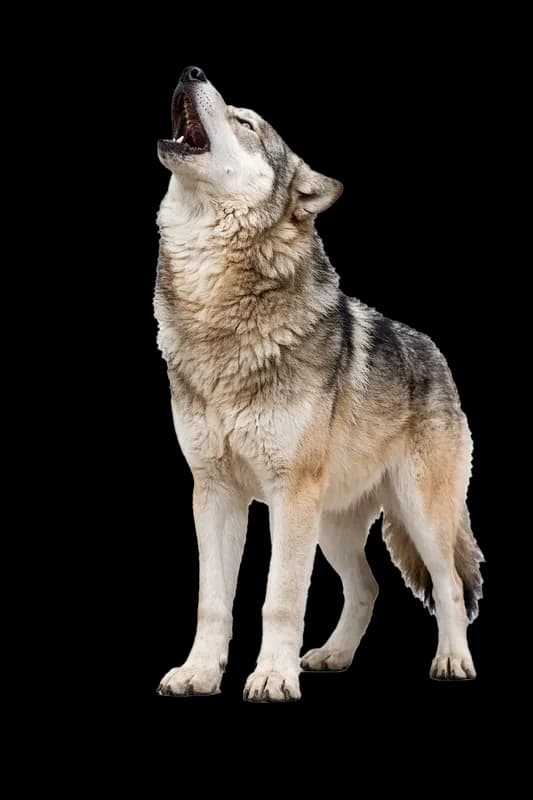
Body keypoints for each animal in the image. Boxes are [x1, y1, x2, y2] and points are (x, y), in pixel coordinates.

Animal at [155, 66, 483, 702]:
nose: (191, 71)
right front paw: (199, 674)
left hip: (417, 516)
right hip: (331, 526)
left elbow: (280, 598)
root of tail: (437, 354)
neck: (217, 308)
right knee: (368, 588)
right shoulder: (213, 492)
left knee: (450, 586)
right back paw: (333, 656)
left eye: (245, 121)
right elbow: (214, 602)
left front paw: (272, 677)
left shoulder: (289, 495)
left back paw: (453, 661)